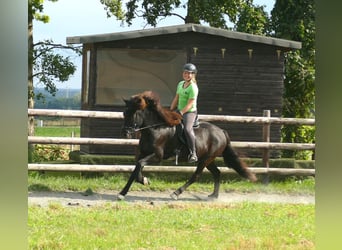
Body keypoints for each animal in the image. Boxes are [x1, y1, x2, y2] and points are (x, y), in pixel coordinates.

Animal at [119, 91, 255, 200]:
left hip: (205, 159)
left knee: (196, 176)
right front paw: (126, 191)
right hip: (208, 159)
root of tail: (221, 131)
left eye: (133, 113)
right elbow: (136, 169)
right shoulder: (143, 154)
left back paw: (176, 193)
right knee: (217, 173)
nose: (125, 133)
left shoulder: (157, 156)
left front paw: (142, 182)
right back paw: (214, 195)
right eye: (125, 113)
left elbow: (140, 164)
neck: (155, 129)